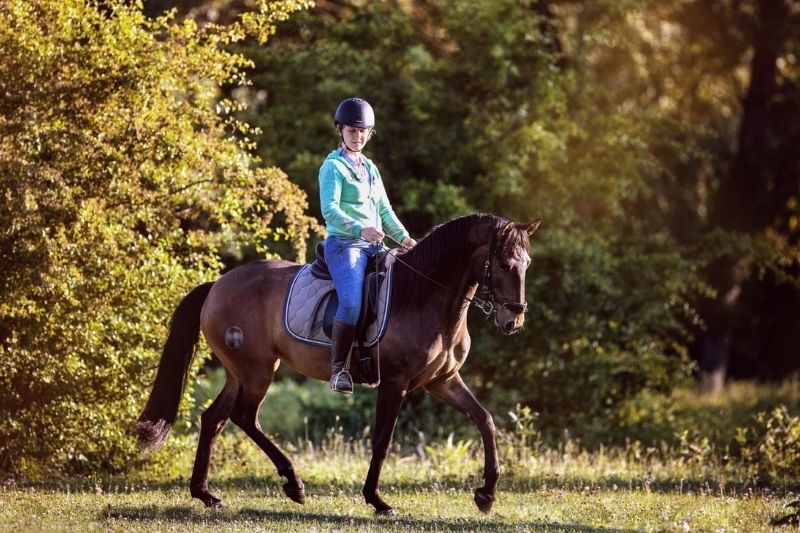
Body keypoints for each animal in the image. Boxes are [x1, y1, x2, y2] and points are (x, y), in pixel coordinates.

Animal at [134, 213, 544, 516]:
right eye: (504, 264)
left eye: (527, 264)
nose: (514, 321)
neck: (423, 296)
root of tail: (218, 284)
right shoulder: (395, 383)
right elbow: (382, 440)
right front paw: (377, 500)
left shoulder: (442, 380)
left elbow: (485, 421)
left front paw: (486, 494)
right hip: (257, 371)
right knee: (244, 417)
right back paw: (294, 484)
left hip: (239, 373)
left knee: (214, 419)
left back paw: (206, 494)